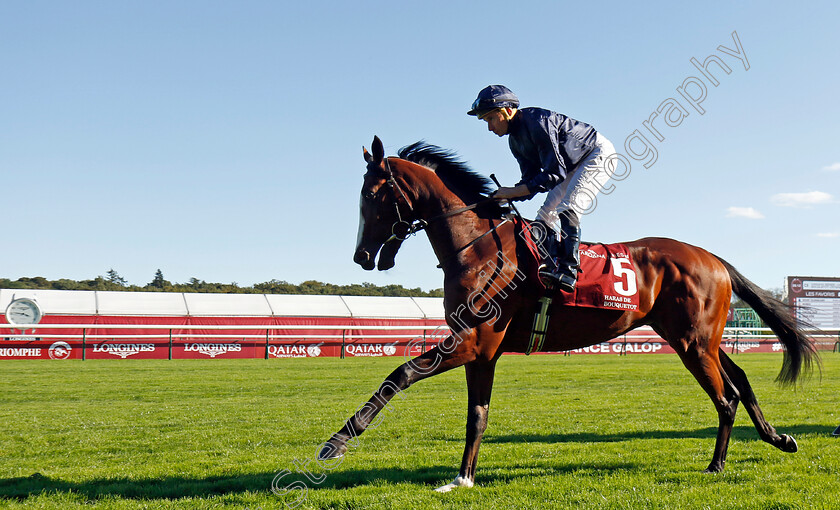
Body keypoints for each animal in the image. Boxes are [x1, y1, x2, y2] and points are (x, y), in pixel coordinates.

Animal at [318, 135, 816, 490]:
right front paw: (463, 478)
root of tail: (712, 257)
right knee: (741, 380)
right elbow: (477, 415)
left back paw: (716, 465)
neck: (477, 245)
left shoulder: (472, 341)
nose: (362, 256)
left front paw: (336, 442)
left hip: (693, 342)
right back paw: (778, 438)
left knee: (725, 397)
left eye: (370, 195)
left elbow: (399, 374)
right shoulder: (483, 351)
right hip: (696, 338)